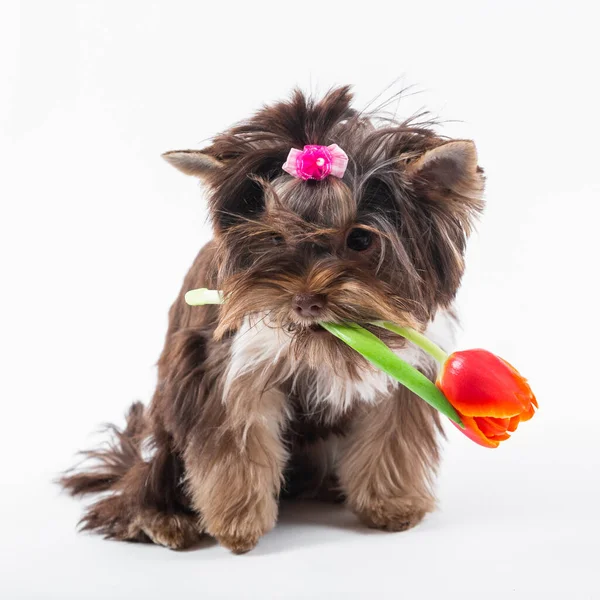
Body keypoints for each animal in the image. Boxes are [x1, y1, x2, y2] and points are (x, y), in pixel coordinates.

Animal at [59, 86, 482, 556]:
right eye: (275, 238)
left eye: (360, 239)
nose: (306, 301)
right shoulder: (228, 368)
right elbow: (235, 444)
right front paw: (237, 525)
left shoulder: (404, 371)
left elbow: (391, 434)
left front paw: (391, 504)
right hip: (165, 422)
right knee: (146, 477)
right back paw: (163, 520)